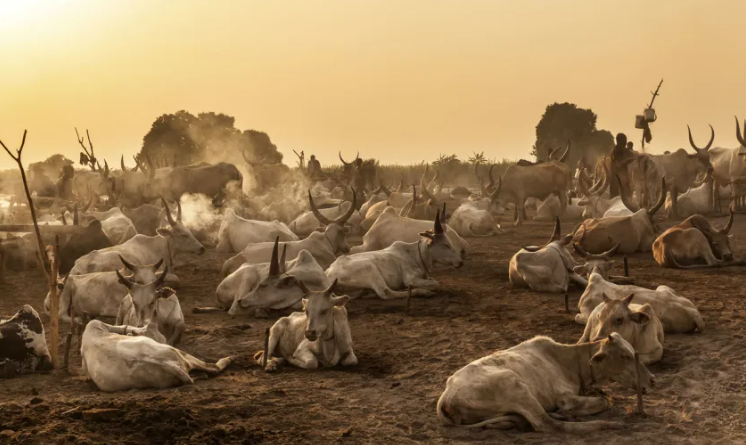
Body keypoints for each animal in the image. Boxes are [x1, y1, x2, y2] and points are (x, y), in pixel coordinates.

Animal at [328, 210, 462, 300]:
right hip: (370, 269)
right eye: (445, 244)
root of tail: (329, 273)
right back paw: (421, 292)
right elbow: (435, 283)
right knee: (385, 292)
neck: (415, 255)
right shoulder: (410, 278)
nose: (460, 262)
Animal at [434, 332, 652, 430]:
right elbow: (605, 400)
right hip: (515, 385)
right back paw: (608, 424)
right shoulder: (565, 397)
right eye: (625, 356)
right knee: (547, 424)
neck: (570, 361)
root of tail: (446, 397)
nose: (652, 379)